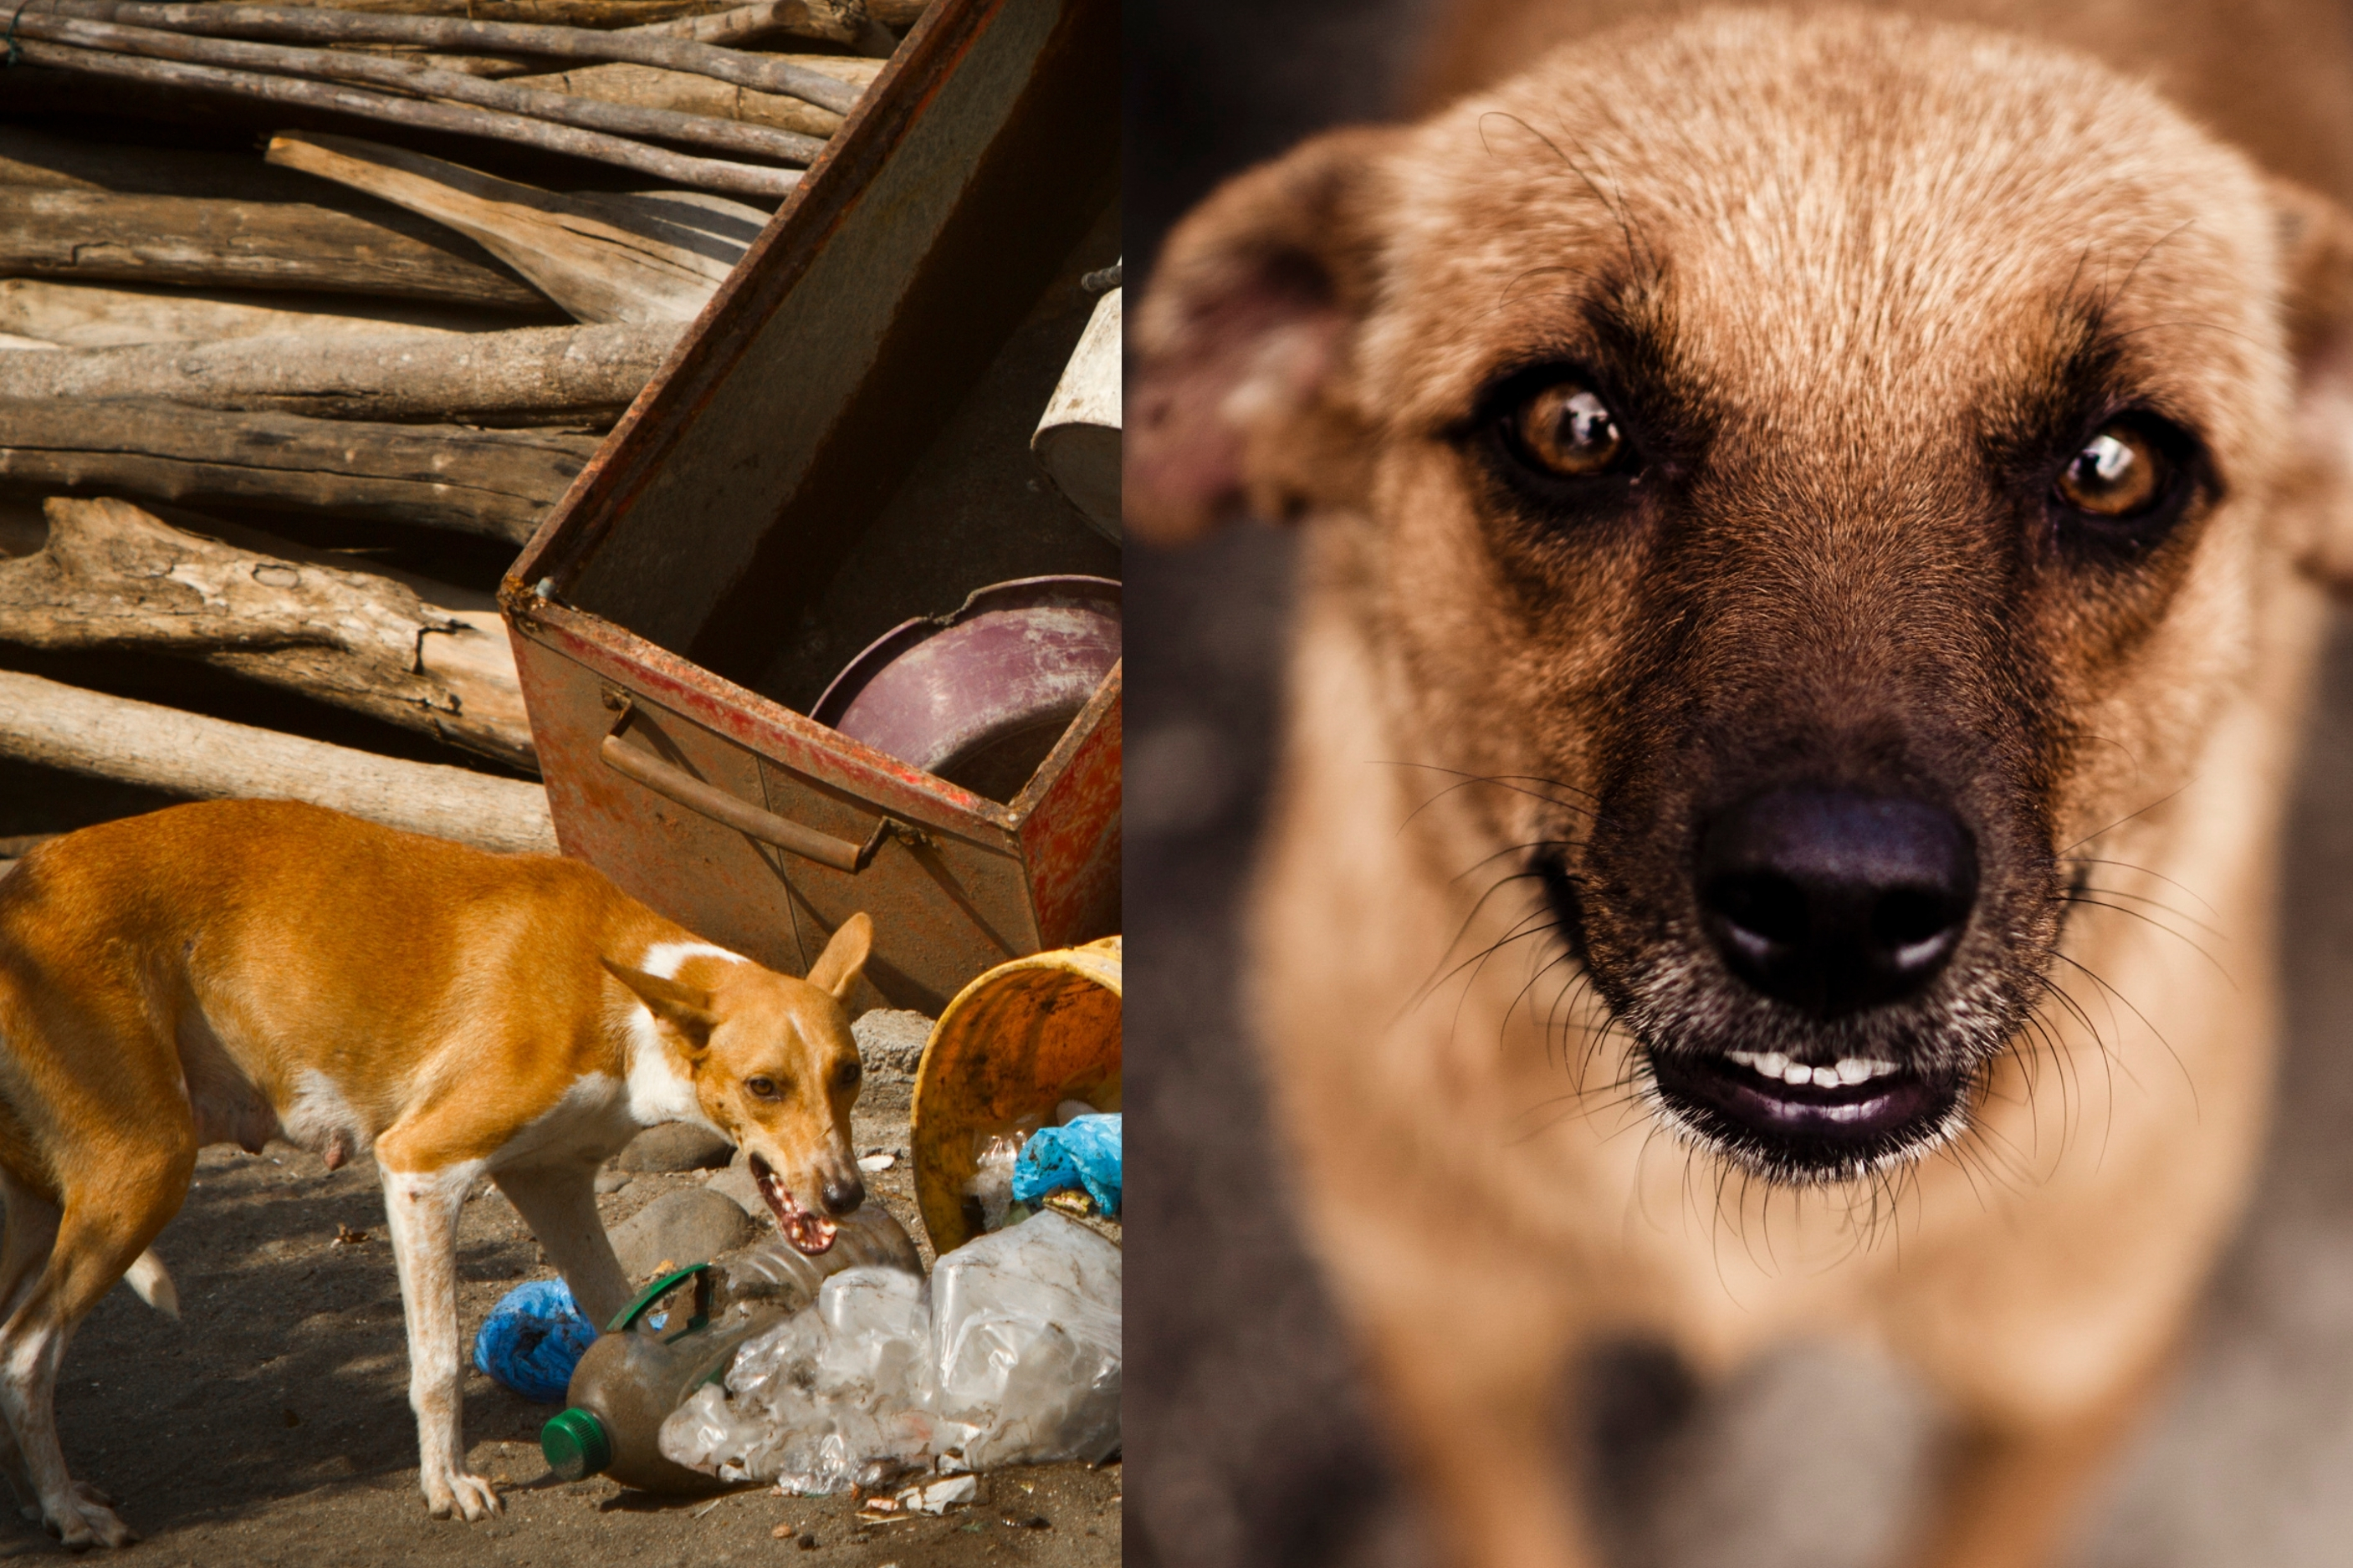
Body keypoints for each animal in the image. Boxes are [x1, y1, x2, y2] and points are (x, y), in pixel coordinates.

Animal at [0, 804, 875, 1551]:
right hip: (142, 1175)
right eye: (764, 1085)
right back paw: (67, 1510)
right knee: (25, 1352)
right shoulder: (422, 1167)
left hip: (46, 1211)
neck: (617, 995)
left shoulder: (553, 1185)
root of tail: (17, 888)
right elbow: (439, 1366)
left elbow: (623, 1311)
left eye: (850, 1072)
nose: (847, 1196)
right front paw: (446, 1484)